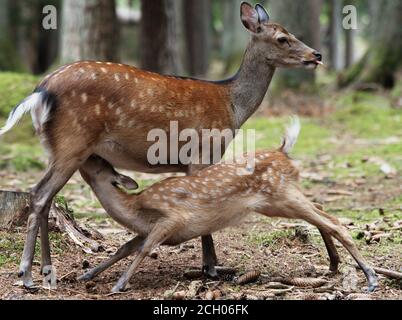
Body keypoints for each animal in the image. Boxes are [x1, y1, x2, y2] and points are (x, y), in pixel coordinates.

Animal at [0, 2, 324, 288]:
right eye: (282, 38)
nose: (317, 54)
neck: (233, 107)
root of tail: (39, 93)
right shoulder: (203, 151)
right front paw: (211, 268)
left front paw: (210, 267)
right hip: (73, 141)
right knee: (39, 194)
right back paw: (26, 275)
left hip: (56, 146)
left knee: (44, 198)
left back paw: (46, 270)